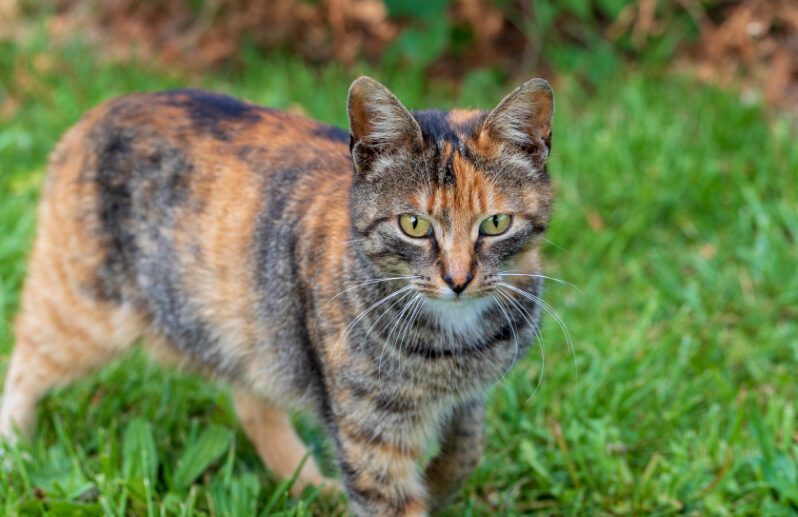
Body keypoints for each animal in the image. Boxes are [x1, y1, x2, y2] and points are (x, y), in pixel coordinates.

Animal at [0, 76, 556, 516]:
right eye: (414, 225)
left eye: (496, 223)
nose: (458, 280)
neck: (453, 345)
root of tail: (101, 109)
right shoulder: (370, 437)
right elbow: (393, 497)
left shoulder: (470, 396)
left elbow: (468, 448)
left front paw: (440, 484)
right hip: (83, 309)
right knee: (25, 363)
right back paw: (14, 451)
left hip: (254, 326)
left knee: (251, 401)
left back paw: (310, 486)